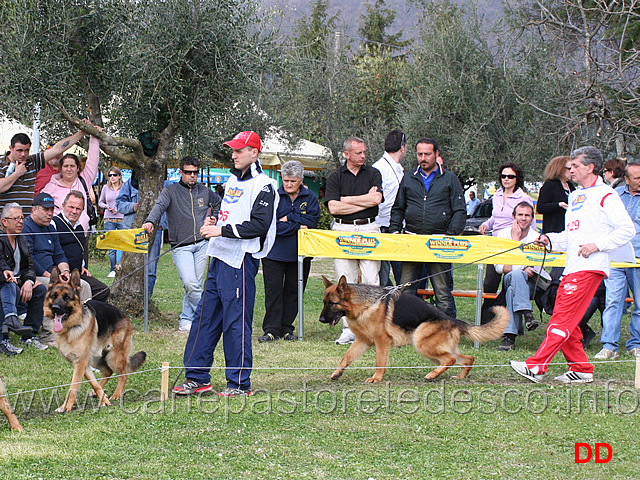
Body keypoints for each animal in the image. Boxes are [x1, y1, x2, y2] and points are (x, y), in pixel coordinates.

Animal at [43, 266, 146, 412]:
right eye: (54, 296)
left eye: (66, 297)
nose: (55, 308)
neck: (70, 329)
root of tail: (124, 315)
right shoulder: (82, 364)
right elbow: (93, 383)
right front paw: (103, 400)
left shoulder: (80, 363)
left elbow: (74, 386)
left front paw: (67, 407)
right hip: (96, 359)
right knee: (107, 371)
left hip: (114, 357)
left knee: (123, 375)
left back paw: (117, 394)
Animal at [320, 278, 510, 382]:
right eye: (324, 302)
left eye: (332, 303)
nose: (321, 319)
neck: (366, 304)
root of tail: (453, 320)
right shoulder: (363, 341)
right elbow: (346, 357)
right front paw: (337, 373)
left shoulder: (382, 341)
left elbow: (380, 362)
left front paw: (376, 378)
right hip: (435, 349)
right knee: (467, 358)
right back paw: (459, 377)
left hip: (421, 342)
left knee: (449, 359)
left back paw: (432, 375)